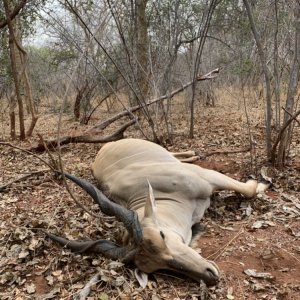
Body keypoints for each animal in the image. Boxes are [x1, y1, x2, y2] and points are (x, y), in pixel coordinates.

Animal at [48, 138, 268, 286]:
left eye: (161, 235)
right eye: (159, 267)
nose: (210, 275)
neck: (167, 197)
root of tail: (106, 145)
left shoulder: (207, 176)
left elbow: (249, 190)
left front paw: (263, 183)